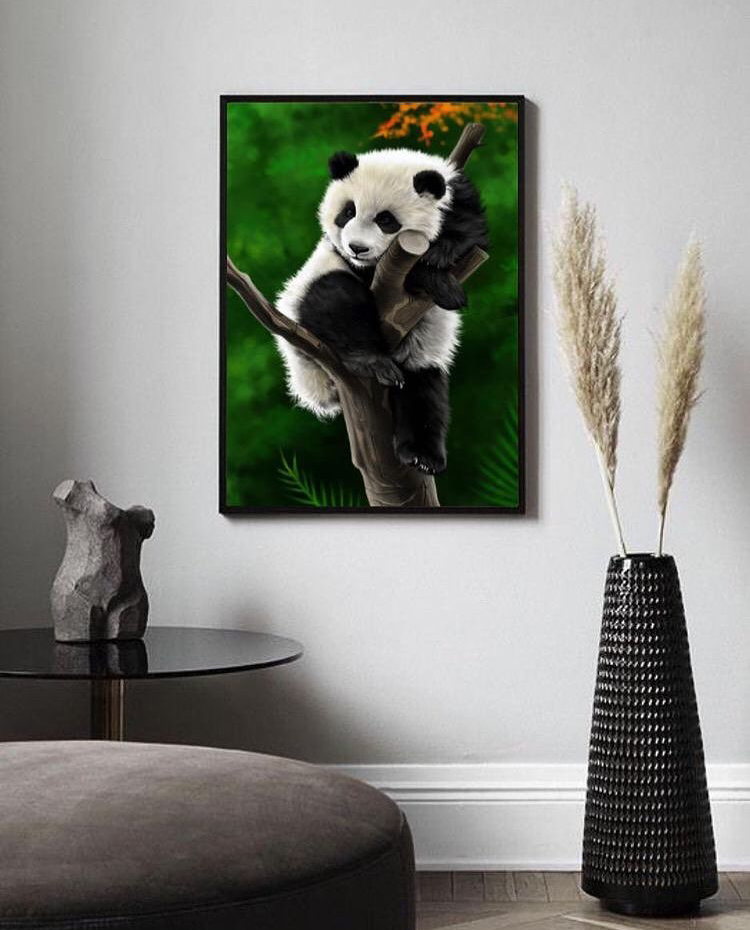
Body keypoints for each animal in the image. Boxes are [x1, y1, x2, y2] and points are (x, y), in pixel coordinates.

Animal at [275, 146, 488, 475]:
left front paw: (441, 255)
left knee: (423, 390)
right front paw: (441, 284)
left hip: (420, 352)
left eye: (386, 220)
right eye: (348, 212)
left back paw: (422, 455)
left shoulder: (458, 198)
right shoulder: (349, 262)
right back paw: (373, 362)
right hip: (306, 301)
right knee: (336, 300)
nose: (357, 247)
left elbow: (470, 230)